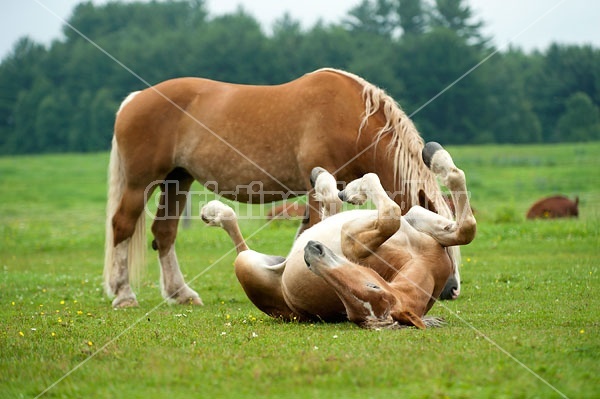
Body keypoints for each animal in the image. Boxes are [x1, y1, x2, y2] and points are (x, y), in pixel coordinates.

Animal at [103, 68, 460, 310]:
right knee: (122, 226)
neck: (349, 116)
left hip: (178, 180)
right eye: (434, 234)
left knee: (164, 233)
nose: (450, 289)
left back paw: (181, 294)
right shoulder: (317, 188)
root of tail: (136, 98)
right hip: (140, 183)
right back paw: (123, 294)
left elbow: (306, 231)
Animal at [199, 142, 476, 330]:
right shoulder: (419, 222)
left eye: (372, 286)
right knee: (327, 209)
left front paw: (356, 189)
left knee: (242, 243)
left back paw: (214, 212)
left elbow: (391, 213)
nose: (313, 254)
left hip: (245, 263)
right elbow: (464, 228)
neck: (418, 259)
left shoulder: (351, 239)